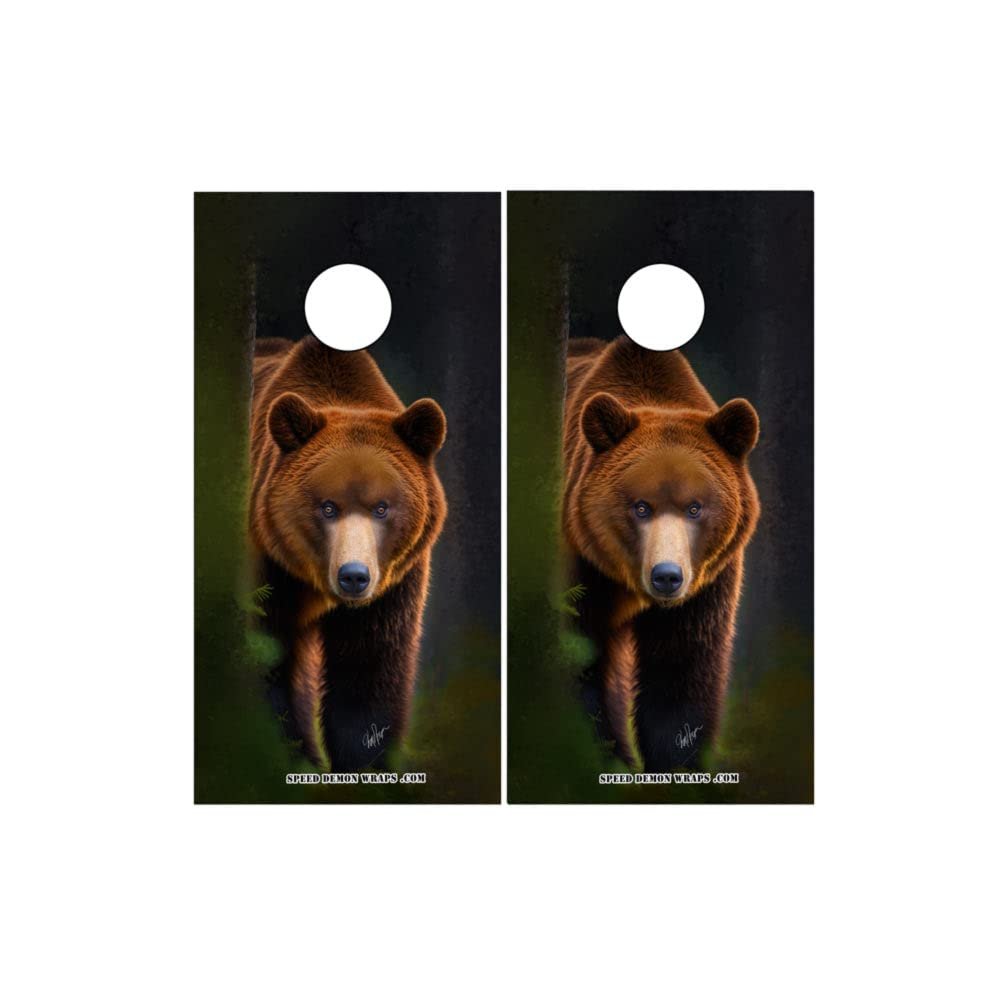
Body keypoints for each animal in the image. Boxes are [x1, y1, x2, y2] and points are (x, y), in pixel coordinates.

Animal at [249, 334, 447, 771]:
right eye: (327, 507)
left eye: (382, 508)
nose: (354, 576)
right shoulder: (267, 563)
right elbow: (267, 657)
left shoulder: (394, 585)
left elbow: (368, 671)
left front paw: (364, 763)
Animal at [563, 335, 760, 771]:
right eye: (640, 507)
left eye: (695, 508)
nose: (667, 576)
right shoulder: (579, 560)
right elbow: (579, 657)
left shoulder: (707, 584)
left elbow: (681, 671)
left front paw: (677, 763)